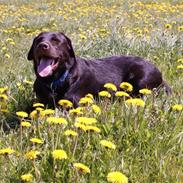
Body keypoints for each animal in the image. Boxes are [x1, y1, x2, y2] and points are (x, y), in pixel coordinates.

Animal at [27, 31, 172, 107]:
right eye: (38, 40)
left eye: (56, 40)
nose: (42, 45)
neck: (55, 80)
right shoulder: (40, 102)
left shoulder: (77, 102)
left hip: (142, 77)